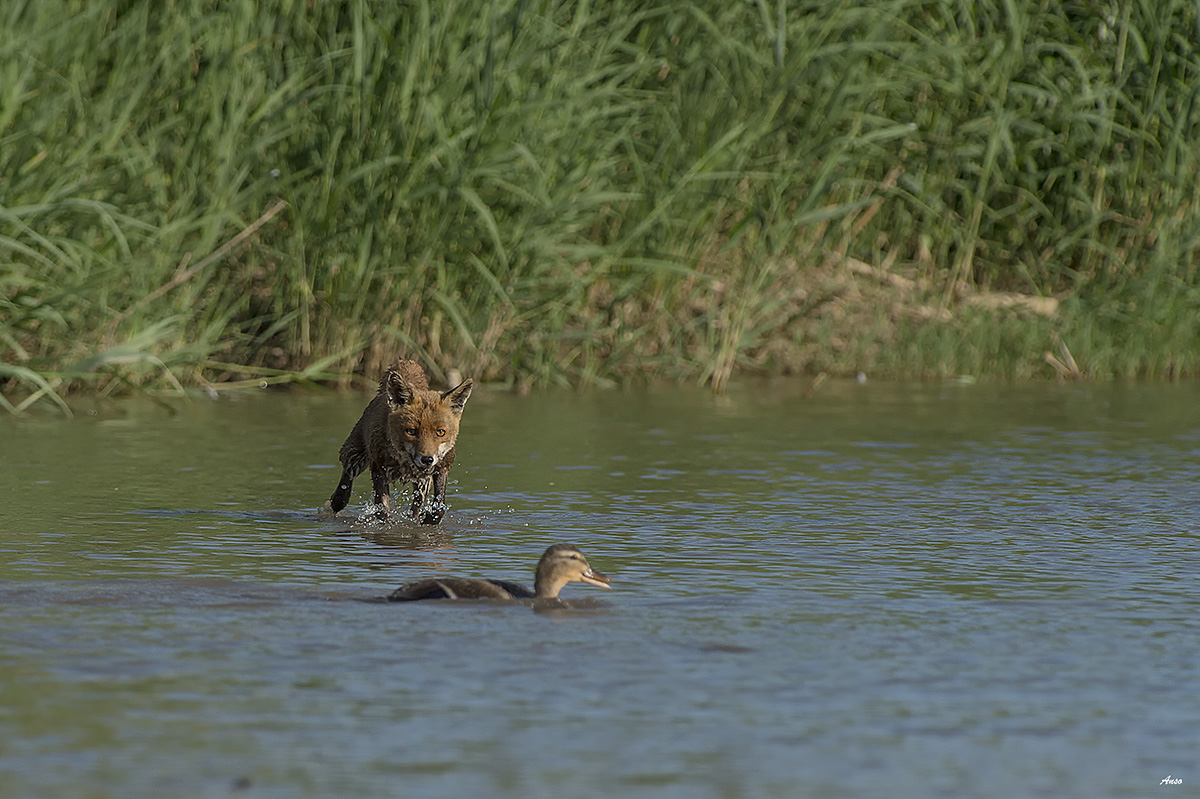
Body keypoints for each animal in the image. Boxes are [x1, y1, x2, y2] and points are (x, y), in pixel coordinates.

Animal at [325, 359, 473, 524]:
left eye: (440, 432)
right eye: (411, 431)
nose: (427, 459)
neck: (404, 464)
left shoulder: (442, 468)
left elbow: (439, 508)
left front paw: (428, 519)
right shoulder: (378, 469)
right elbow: (382, 509)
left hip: (423, 484)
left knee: (416, 505)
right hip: (355, 455)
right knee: (346, 476)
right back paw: (337, 500)